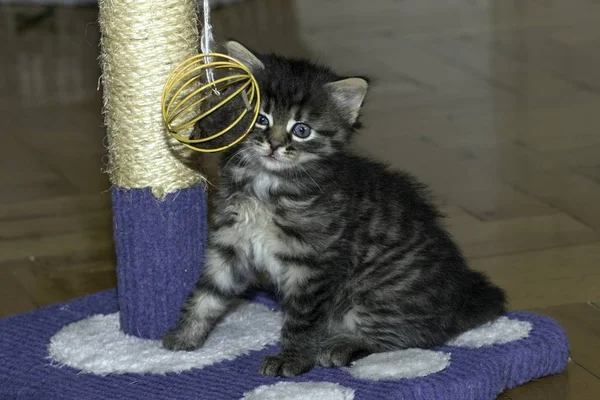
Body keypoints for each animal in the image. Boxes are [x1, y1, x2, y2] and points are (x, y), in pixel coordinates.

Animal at [162, 40, 504, 378]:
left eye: (302, 130)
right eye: (261, 119)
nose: (274, 145)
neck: (267, 187)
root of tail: (459, 299)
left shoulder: (313, 266)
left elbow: (302, 319)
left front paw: (291, 359)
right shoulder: (231, 245)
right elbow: (207, 293)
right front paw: (184, 336)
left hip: (375, 294)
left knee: (413, 337)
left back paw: (341, 346)